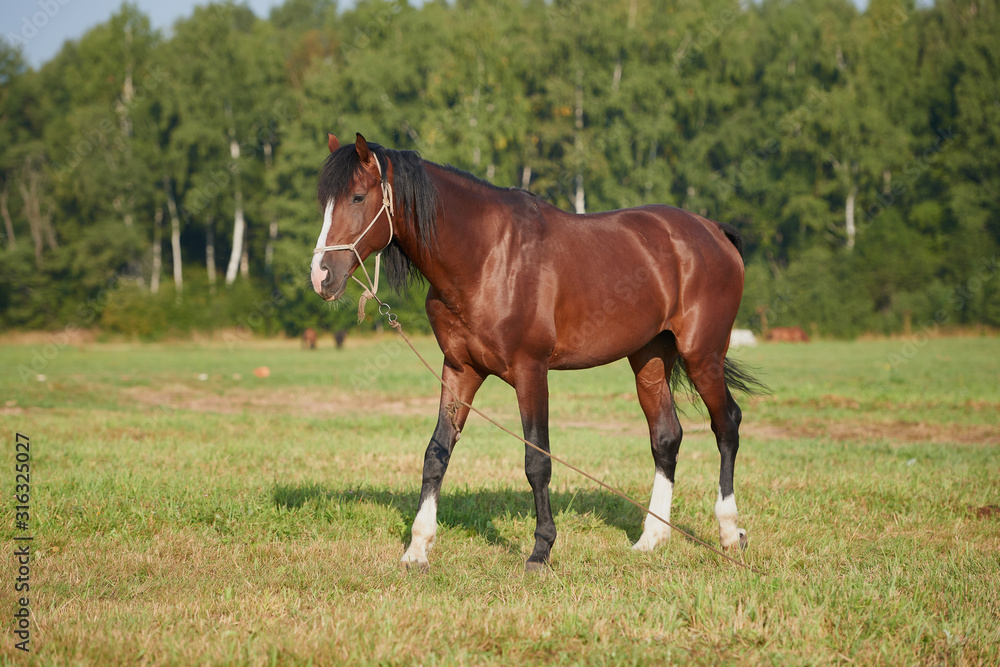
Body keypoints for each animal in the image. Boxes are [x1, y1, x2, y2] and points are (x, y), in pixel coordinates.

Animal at [308, 133, 760, 572]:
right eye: (324, 202)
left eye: (357, 197)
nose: (320, 277)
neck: (486, 257)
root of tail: (714, 231)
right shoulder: (459, 369)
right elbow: (437, 452)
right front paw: (417, 549)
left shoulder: (531, 371)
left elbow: (536, 460)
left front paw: (541, 551)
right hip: (649, 358)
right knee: (666, 436)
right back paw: (651, 538)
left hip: (703, 355)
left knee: (727, 425)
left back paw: (729, 532)